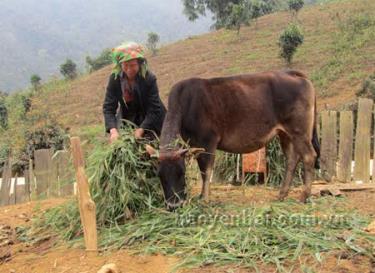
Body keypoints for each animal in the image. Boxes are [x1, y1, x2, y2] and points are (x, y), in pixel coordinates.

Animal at [148, 69, 320, 209]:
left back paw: (303, 196)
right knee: (291, 159)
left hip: (300, 132)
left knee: (309, 156)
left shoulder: (208, 142)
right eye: (159, 175)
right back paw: (281, 195)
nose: (173, 205)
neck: (186, 104)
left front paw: (204, 199)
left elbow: (206, 171)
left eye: (181, 172)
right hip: (285, 134)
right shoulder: (195, 144)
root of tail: (292, 73)